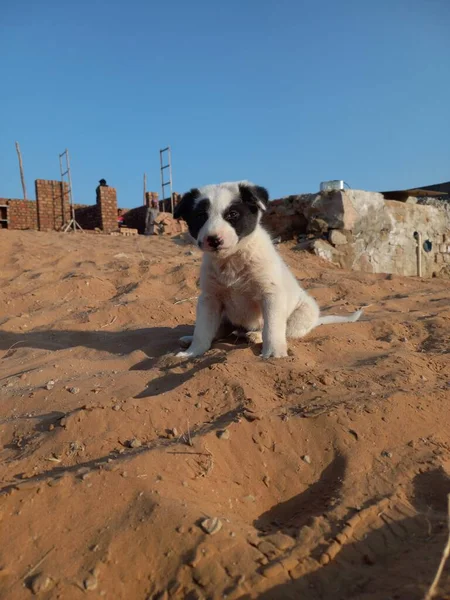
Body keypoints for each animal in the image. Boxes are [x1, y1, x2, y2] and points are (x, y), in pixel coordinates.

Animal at [173, 180, 362, 358]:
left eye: (233, 214)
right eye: (200, 216)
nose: (213, 239)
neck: (232, 260)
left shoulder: (271, 295)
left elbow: (272, 328)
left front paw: (273, 352)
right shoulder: (209, 299)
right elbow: (202, 330)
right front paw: (193, 352)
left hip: (300, 316)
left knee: (281, 330)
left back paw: (255, 336)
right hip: (225, 317)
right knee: (218, 331)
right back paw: (190, 339)